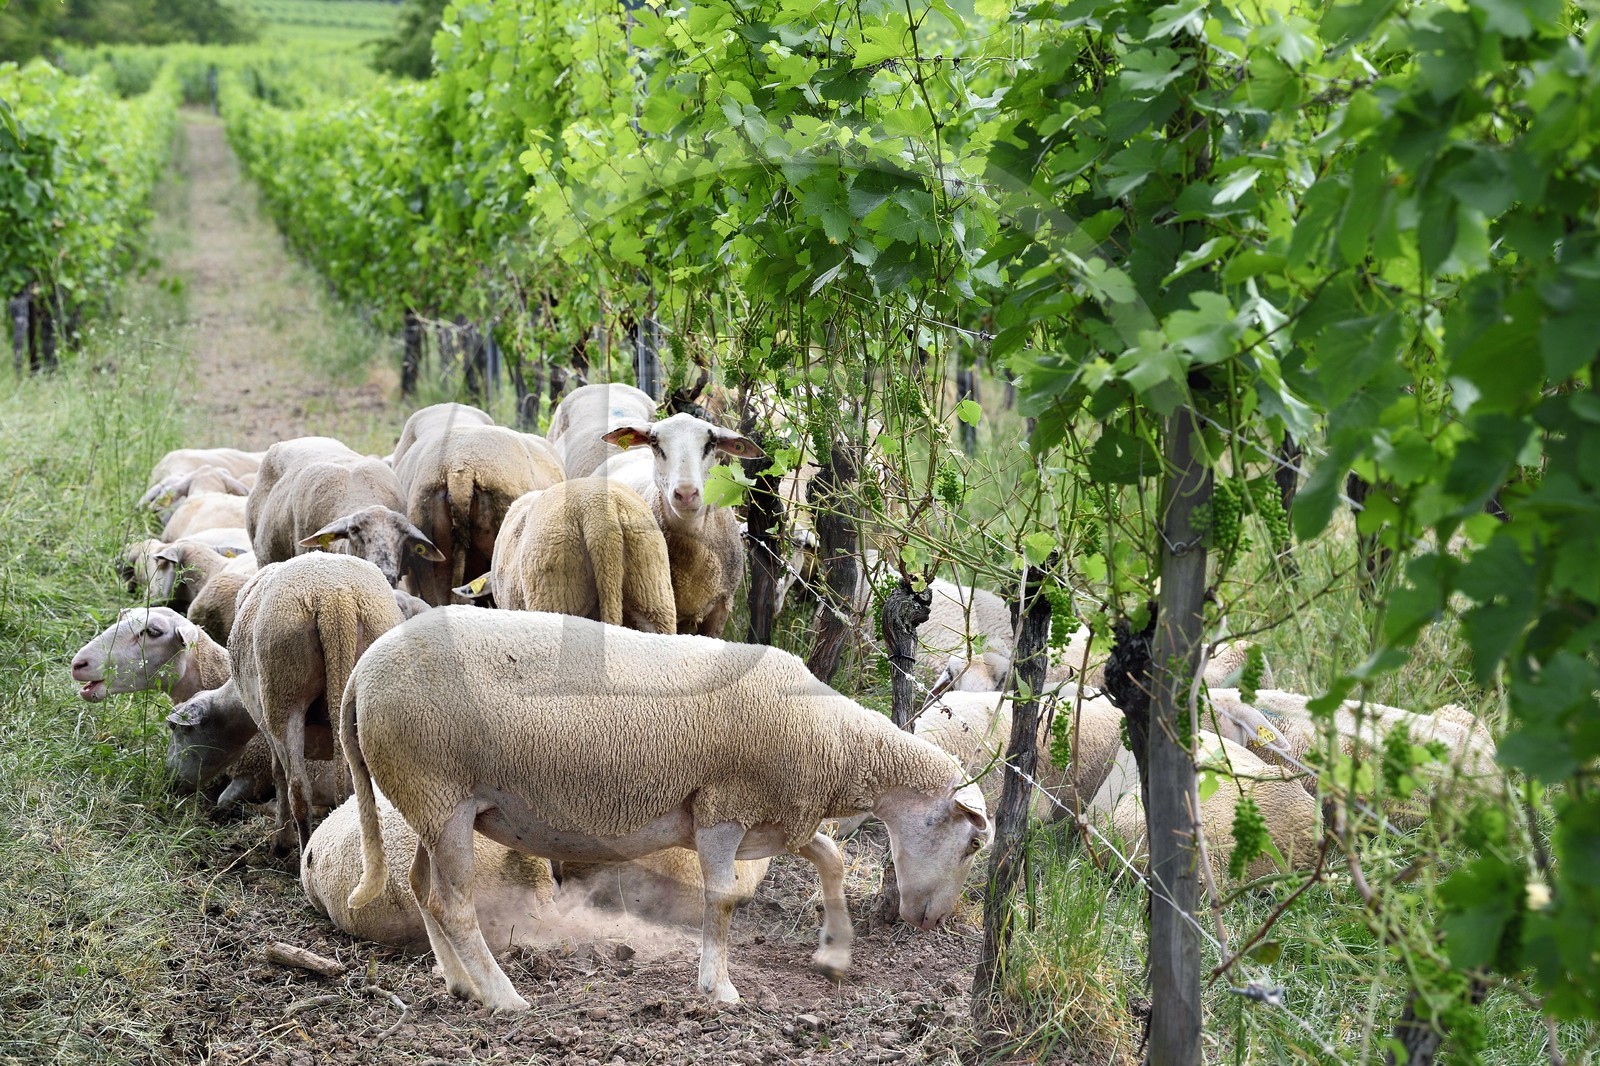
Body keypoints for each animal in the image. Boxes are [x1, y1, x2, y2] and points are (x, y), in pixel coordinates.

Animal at [339, 607, 992, 1009]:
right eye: (973, 843)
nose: (931, 922)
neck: (833, 740)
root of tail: (361, 674)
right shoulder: (724, 808)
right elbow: (722, 900)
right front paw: (718, 988)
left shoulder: (775, 816)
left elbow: (830, 857)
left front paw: (833, 951)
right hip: (438, 792)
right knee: (453, 904)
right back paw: (503, 996)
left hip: (430, 803)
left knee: (424, 892)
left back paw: (461, 984)